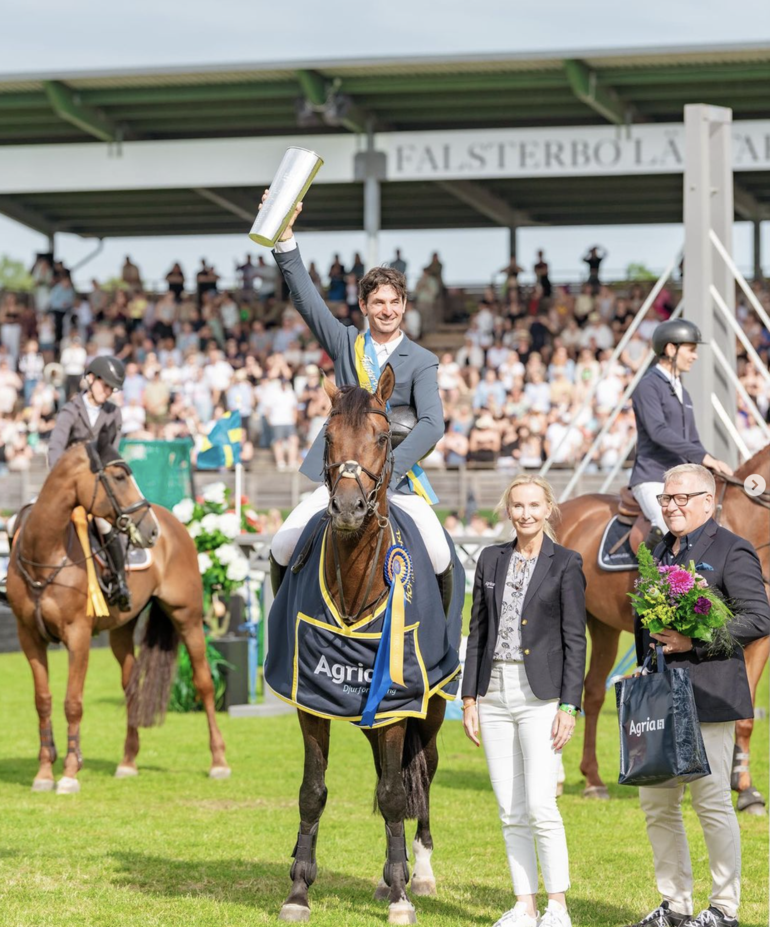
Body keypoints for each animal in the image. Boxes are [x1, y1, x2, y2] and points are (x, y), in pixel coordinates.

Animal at [6, 432, 228, 792]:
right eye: (120, 476)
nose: (150, 530)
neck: (45, 554)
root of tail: (174, 523)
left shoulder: (78, 637)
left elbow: (72, 703)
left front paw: (69, 773)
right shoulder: (29, 638)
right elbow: (43, 701)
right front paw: (44, 773)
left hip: (188, 617)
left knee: (204, 682)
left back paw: (219, 761)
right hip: (122, 631)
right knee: (131, 688)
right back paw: (127, 762)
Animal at [280, 366, 450, 924]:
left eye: (381, 437)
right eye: (328, 436)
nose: (350, 508)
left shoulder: (399, 703)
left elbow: (396, 794)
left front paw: (400, 896)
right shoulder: (310, 697)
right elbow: (312, 791)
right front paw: (299, 888)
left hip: (432, 707)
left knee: (422, 772)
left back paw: (419, 872)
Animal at [556, 446, 768, 816]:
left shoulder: (760, 637)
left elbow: (745, 718)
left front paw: (746, 790)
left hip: (603, 626)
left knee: (593, 693)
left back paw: (593, 779)